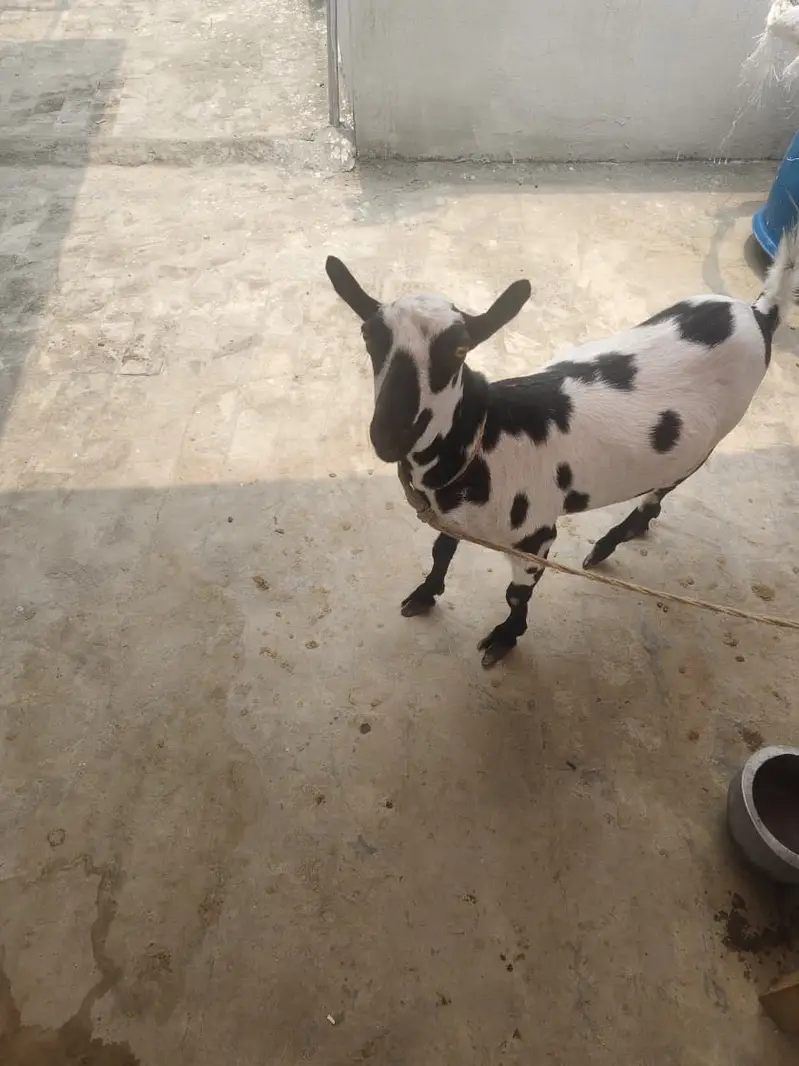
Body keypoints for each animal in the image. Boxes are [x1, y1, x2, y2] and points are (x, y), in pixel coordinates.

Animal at [325, 233, 797, 667]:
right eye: (368, 335)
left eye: (460, 349)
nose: (390, 435)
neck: (484, 437)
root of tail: (757, 314)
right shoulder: (450, 515)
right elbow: (442, 551)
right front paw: (424, 595)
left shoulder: (535, 538)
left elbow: (516, 595)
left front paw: (505, 638)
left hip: (710, 441)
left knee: (661, 491)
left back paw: (608, 544)